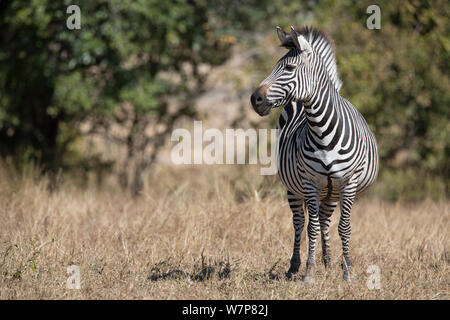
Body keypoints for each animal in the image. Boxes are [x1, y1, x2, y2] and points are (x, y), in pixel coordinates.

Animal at [250, 26, 380, 282]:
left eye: (289, 68)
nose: (254, 99)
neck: (322, 130)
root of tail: (298, 102)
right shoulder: (309, 181)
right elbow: (311, 227)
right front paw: (309, 272)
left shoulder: (348, 182)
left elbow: (344, 227)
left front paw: (347, 271)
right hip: (295, 187)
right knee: (300, 222)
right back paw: (295, 266)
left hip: (331, 191)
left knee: (326, 220)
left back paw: (328, 261)